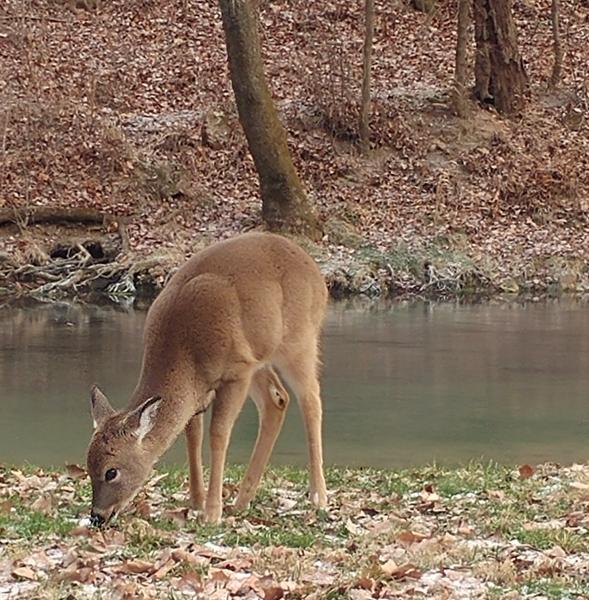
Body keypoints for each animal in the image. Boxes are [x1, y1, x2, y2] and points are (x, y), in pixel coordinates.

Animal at [86, 232, 326, 524]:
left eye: (111, 471)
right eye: (88, 466)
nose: (97, 516)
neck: (185, 353)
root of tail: (316, 273)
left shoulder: (235, 372)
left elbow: (218, 434)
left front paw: (212, 512)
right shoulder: (203, 389)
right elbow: (193, 435)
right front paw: (196, 502)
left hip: (299, 340)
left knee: (311, 401)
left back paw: (319, 497)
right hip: (259, 360)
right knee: (277, 400)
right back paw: (242, 500)